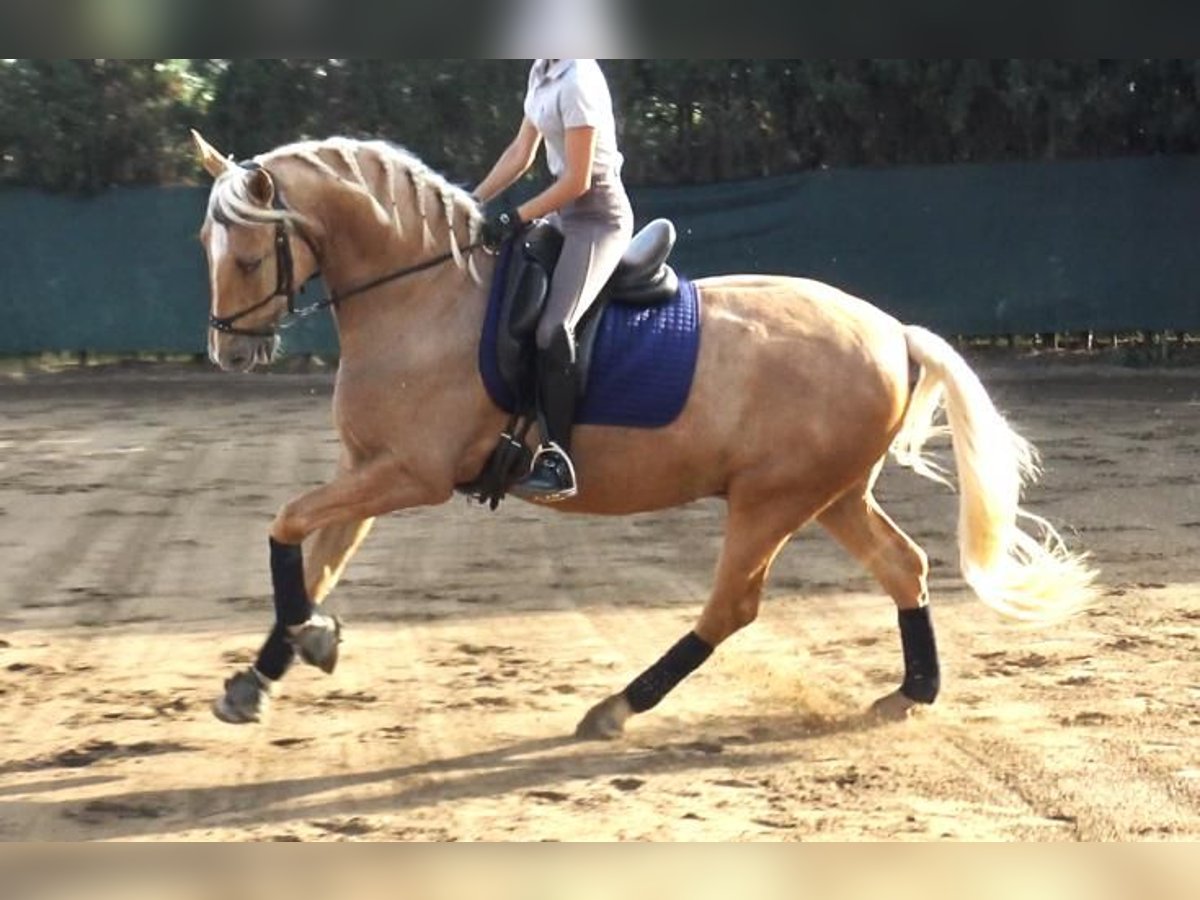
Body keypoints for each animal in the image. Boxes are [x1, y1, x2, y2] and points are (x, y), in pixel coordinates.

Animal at [194, 132, 1099, 739]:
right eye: (207, 245)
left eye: (247, 256)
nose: (228, 351)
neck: (422, 297)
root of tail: (892, 332)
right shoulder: (368, 469)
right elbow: (311, 553)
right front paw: (269, 670)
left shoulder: (411, 474)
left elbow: (287, 526)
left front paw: (306, 641)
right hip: (832, 493)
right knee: (902, 567)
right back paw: (911, 692)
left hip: (773, 500)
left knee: (733, 605)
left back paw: (617, 706)